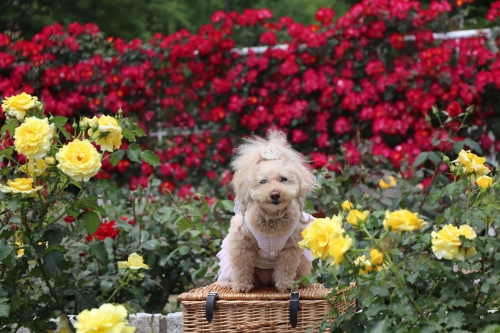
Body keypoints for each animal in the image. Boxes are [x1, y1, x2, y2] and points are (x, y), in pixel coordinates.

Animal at [218, 130, 318, 290]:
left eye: (283, 179)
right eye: (263, 181)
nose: (275, 194)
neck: (271, 221)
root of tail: (266, 281)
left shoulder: (290, 248)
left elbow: (286, 267)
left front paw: (286, 286)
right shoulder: (241, 244)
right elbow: (241, 267)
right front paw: (241, 286)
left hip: (302, 262)